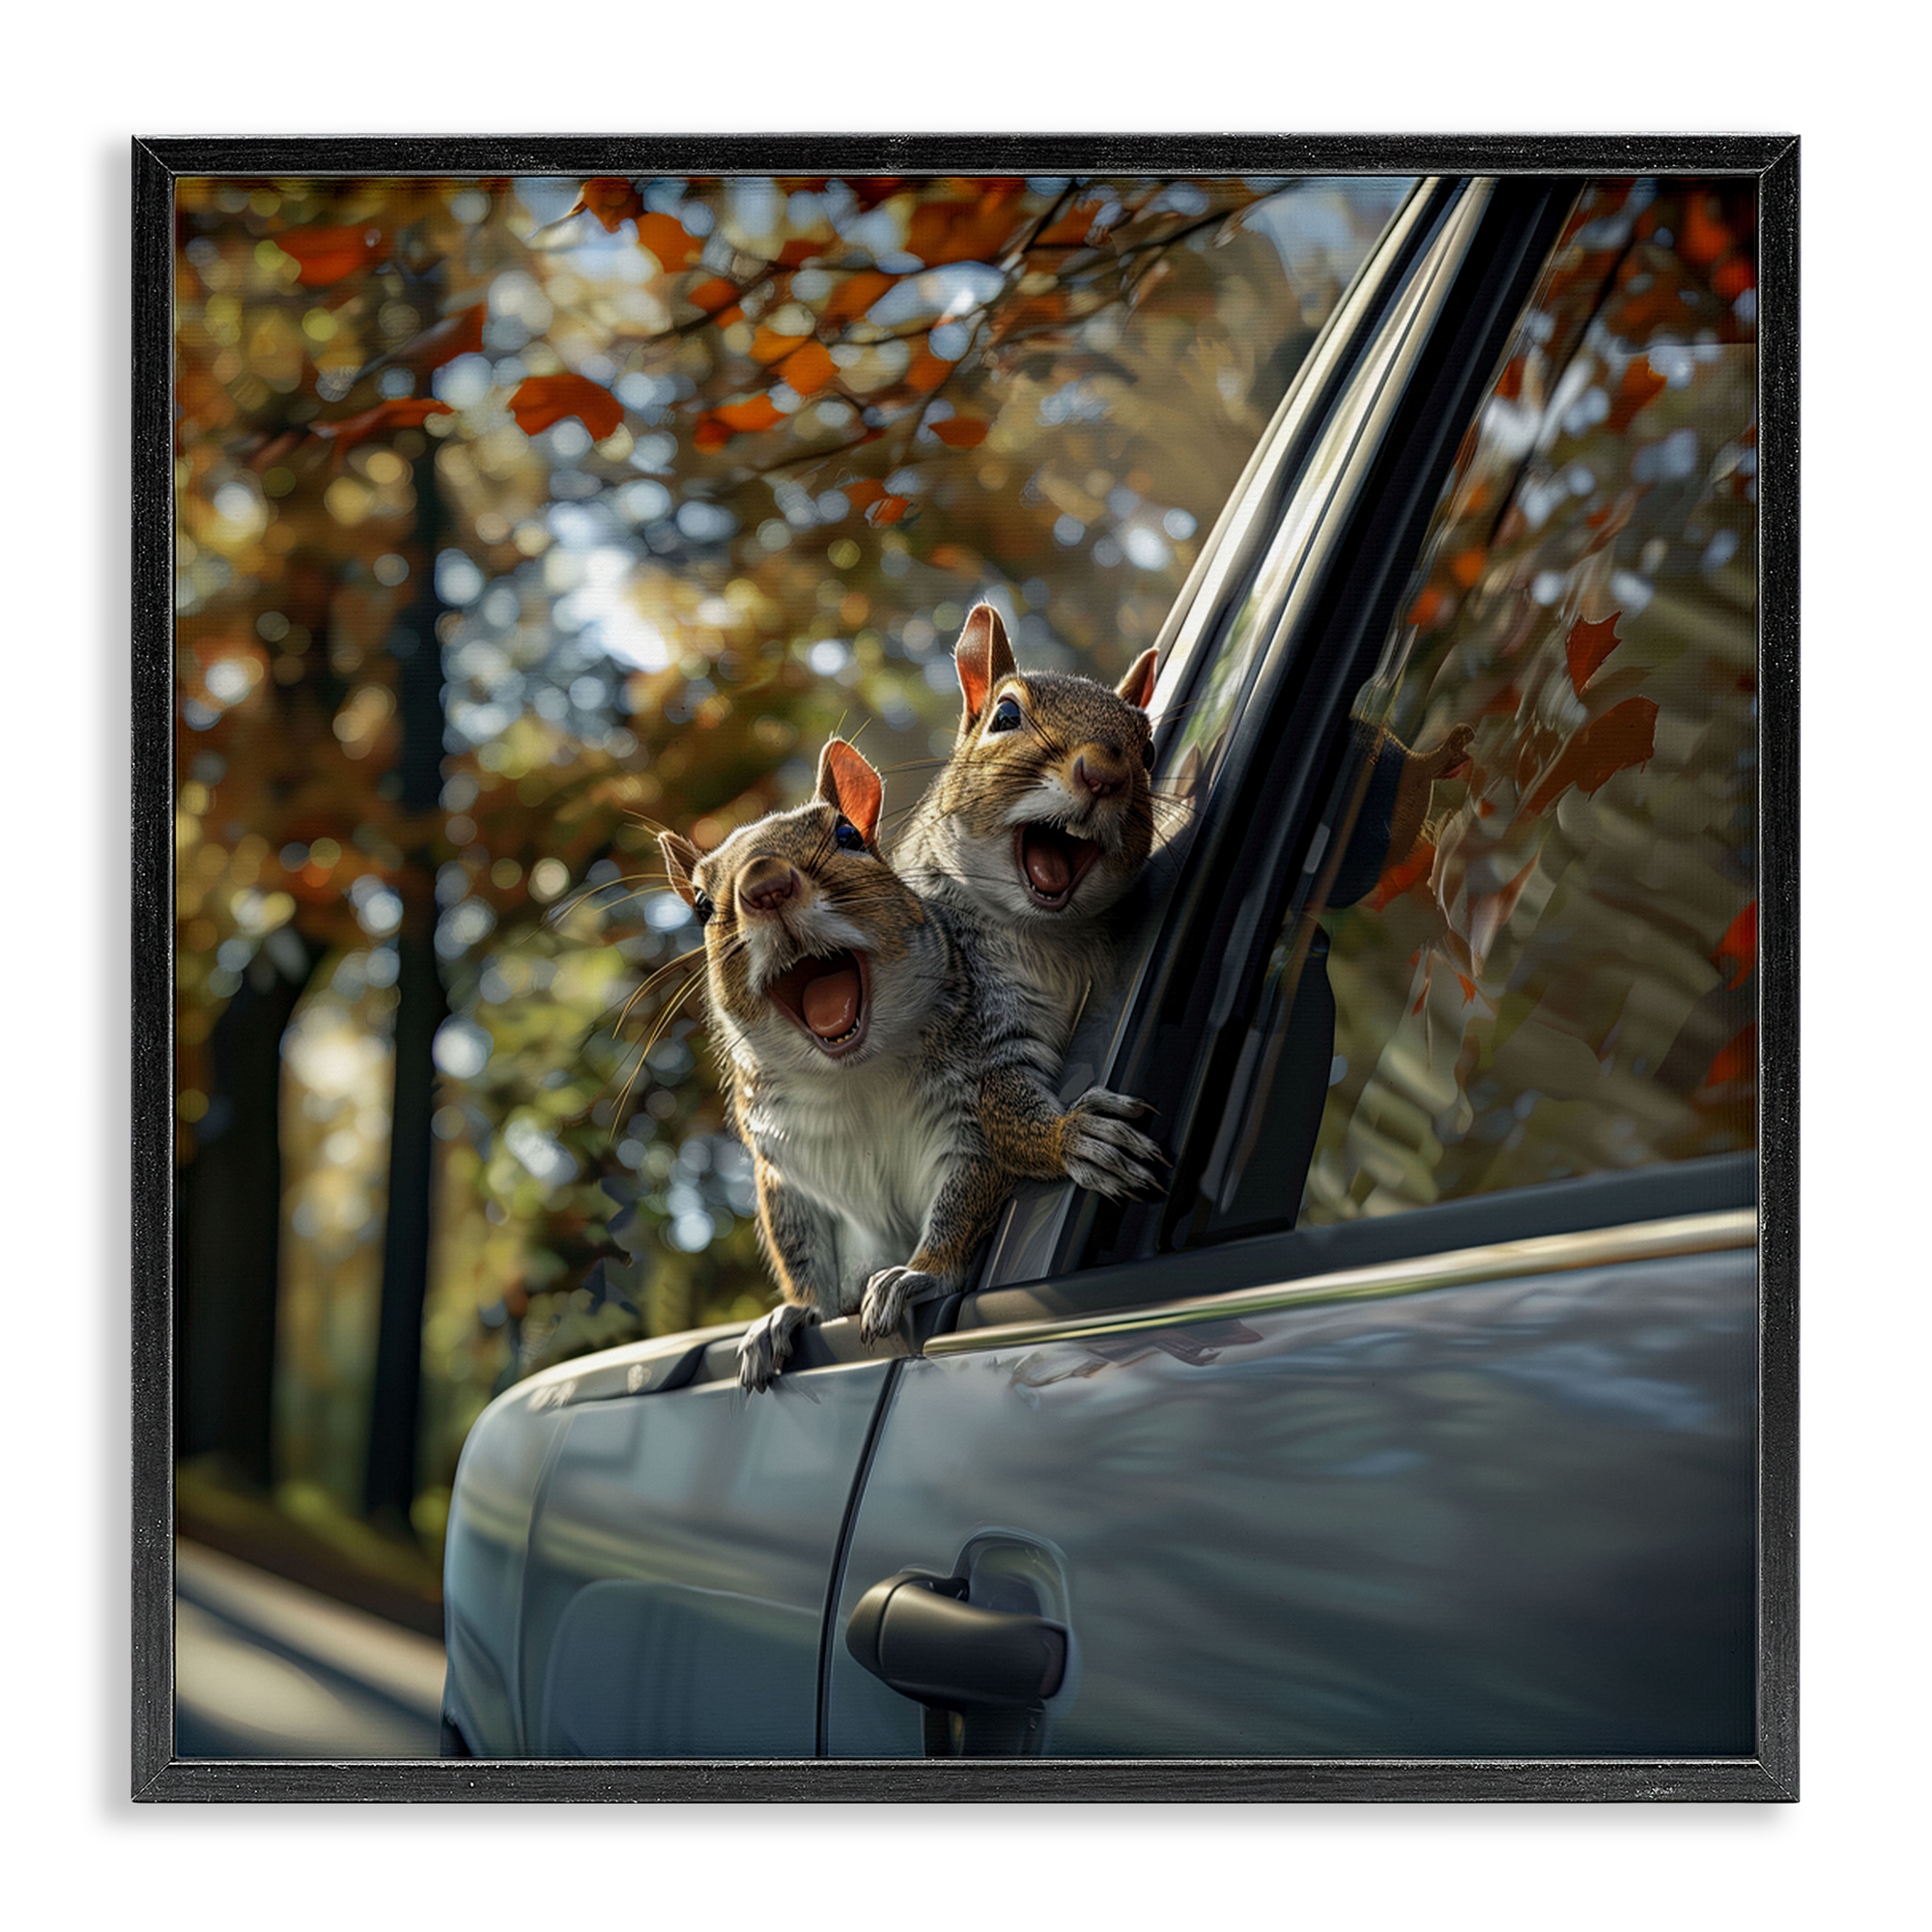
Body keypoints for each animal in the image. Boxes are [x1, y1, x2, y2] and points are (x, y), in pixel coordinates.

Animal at [659, 737, 1164, 1391]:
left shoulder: (966, 1107)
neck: (856, 1071)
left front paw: (920, 1272)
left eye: (848, 836)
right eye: (700, 905)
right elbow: (801, 1249)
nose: (765, 885)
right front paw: (793, 1313)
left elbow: (964, 1197)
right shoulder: (785, 1165)